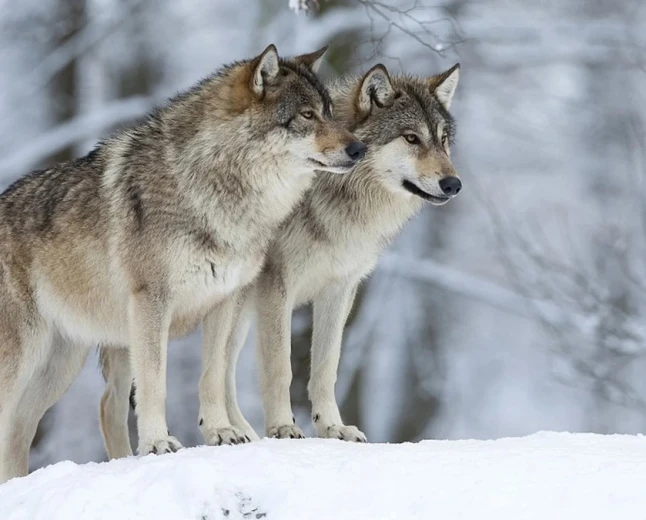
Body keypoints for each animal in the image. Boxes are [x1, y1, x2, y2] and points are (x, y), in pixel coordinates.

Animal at [0, 44, 366, 483]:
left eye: (329, 112)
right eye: (307, 116)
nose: (360, 149)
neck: (215, 187)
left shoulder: (225, 301)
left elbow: (212, 377)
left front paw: (221, 432)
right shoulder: (152, 303)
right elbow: (155, 383)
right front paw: (158, 443)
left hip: (60, 364)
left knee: (21, 429)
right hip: (25, 359)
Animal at [99, 62, 461, 452]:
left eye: (443, 140)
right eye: (411, 138)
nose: (453, 184)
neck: (336, 199)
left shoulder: (340, 290)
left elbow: (326, 368)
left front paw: (333, 428)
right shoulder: (277, 286)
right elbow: (280, 367)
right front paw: (284, 427)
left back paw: (241, 433)